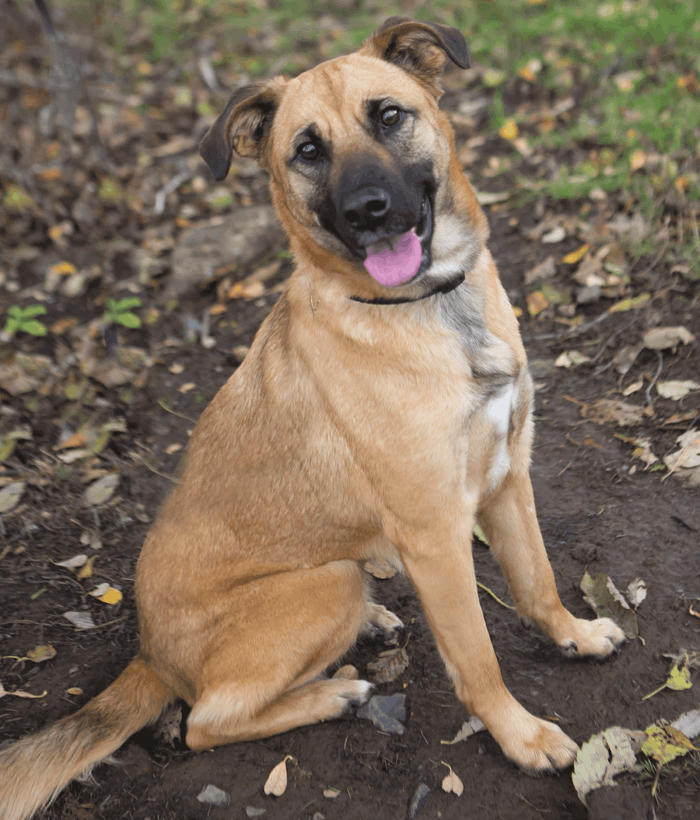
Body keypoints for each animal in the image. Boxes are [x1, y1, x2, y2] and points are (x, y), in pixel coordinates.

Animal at [0, 19, 624, 820]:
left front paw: (574, 635)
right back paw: (334, 693)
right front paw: (520, 736)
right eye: (306, 150)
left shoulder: (509, 476)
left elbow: (538, 581)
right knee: (204, 722)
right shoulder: (435, 534)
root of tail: (148, 651)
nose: (369, 211)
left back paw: (374, 624)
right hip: (322, 582)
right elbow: (478, 657)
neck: (429, 308)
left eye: (388, 116)